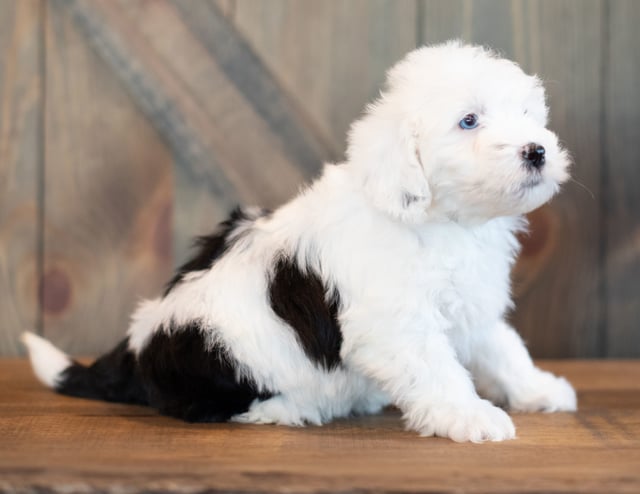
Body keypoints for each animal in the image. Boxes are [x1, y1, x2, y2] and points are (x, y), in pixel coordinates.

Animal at [23, 43, 576, 444]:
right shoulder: (397, 324)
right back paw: (295, 407)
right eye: (468, 121)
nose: (537, 150)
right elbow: (439, 369)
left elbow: (502, 347)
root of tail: (136, 348)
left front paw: (537, 388)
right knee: (219, 407)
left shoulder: (471, 301)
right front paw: (471, 416)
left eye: (527, 114)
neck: (439, 219)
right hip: (224, 355)